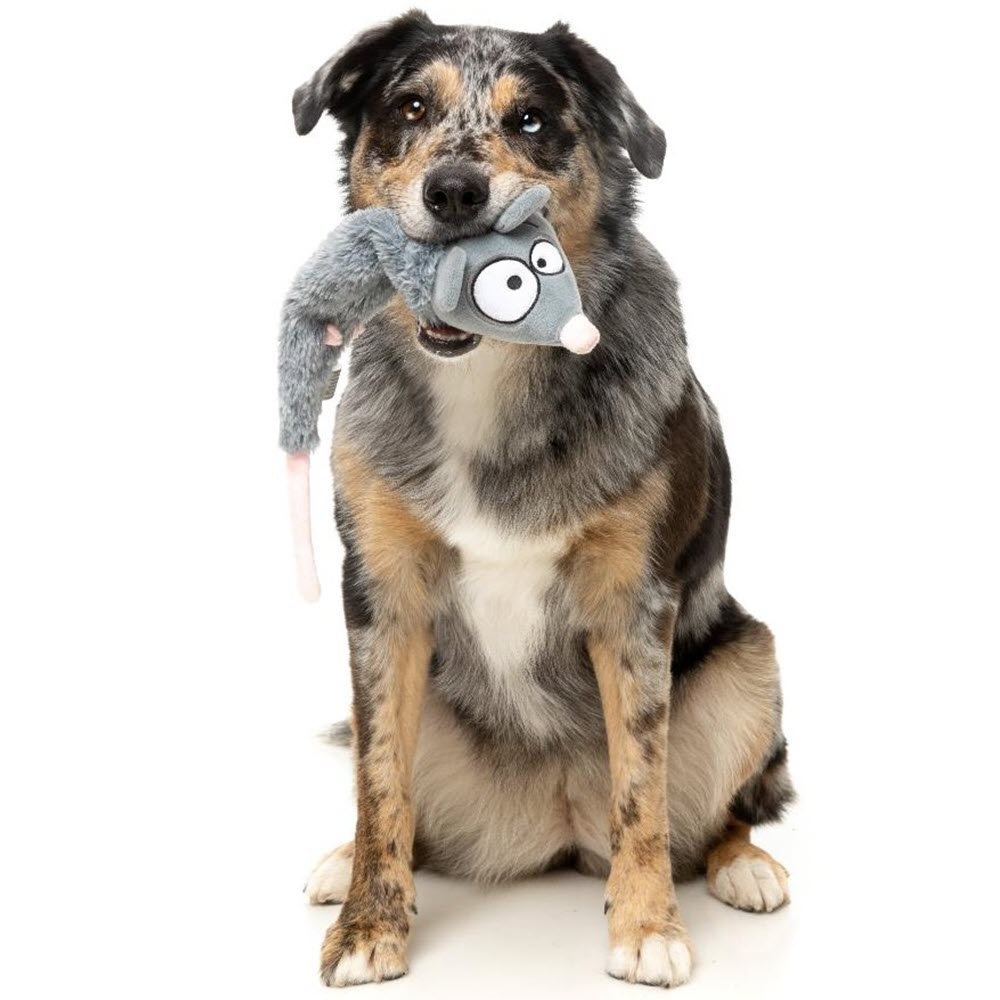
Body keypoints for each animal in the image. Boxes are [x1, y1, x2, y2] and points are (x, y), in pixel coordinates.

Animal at [292, 11, 794, 988]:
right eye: (410, 107)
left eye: (530, 119)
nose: (454, 191)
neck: (487, 375)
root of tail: (556, 826)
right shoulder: (381, 602)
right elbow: (380, 783)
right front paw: (370, 926)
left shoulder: (633, 604)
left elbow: (642, 786)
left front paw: (647, 927)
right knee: (403, 805)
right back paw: (341, 863)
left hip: (749, 664)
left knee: (721, 810)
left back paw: (744, 866)